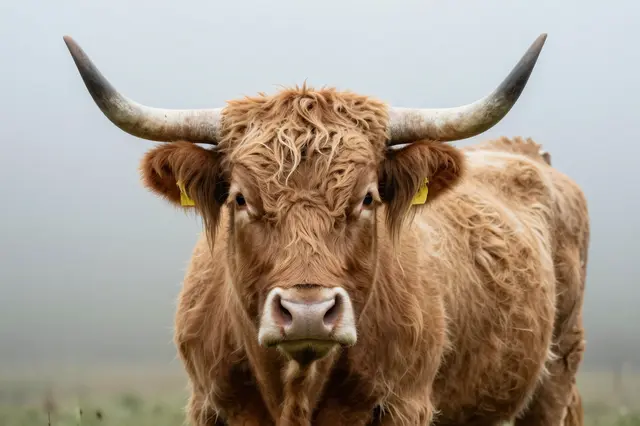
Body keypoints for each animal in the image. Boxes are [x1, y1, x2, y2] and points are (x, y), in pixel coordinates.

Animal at [63, 33, 589, 426]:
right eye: (241, 199)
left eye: (367, 198)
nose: (308, 312)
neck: (298, 386)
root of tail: (524, 151)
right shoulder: (209, 404)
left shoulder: (405, 404)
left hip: (558, 372)